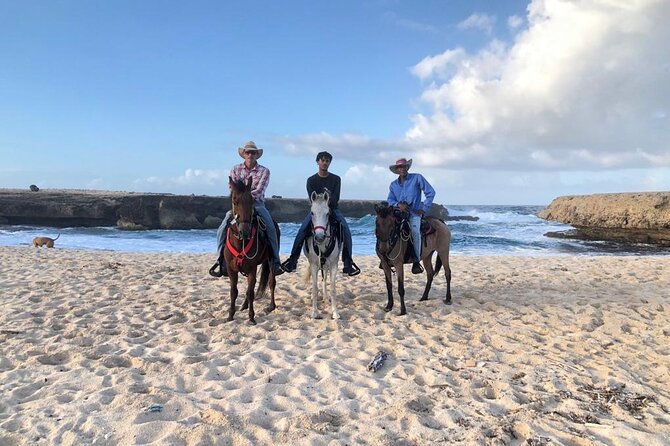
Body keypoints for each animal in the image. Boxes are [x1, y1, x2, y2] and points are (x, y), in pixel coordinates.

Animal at [224, 175, 280, 324]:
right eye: (235, 201)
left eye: (252, 201)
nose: (244, 231)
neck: (240, 242)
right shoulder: (231, 270)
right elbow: (234, 291)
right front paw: (231, 314)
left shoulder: (252, 268)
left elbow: (250, 292)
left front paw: (251, 317)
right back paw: (244, 305)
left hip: (270, 261)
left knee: (271, 283)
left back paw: (271, 306)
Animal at [306, 190, 344, 318]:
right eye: (312, 213)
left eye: (327, 213)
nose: (319, 237)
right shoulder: (313, 264)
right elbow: (314, 288)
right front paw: (314, 312)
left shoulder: (333, 265)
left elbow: (332, 288)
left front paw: (335, 313)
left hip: (326, 265)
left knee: (324, 279)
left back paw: (326, 298)